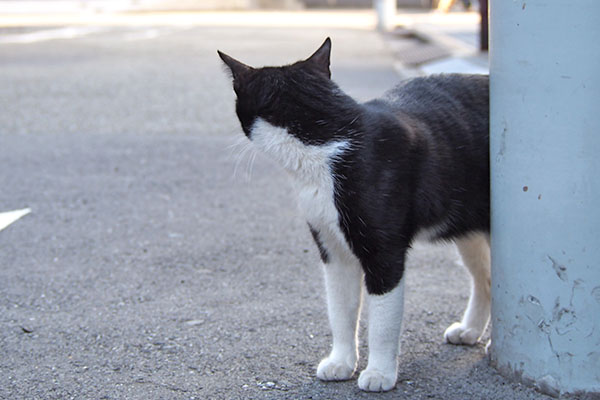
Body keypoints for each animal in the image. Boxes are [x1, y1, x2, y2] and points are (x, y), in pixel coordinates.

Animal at [218, 38, 490, 394]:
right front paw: (341, 362)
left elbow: (382, 320)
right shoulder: (332, 249)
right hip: (468, 230)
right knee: (485, 279)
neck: (324, 140)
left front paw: (379, 373)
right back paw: (470, 331)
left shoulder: (384, 253)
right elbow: (340, 310)